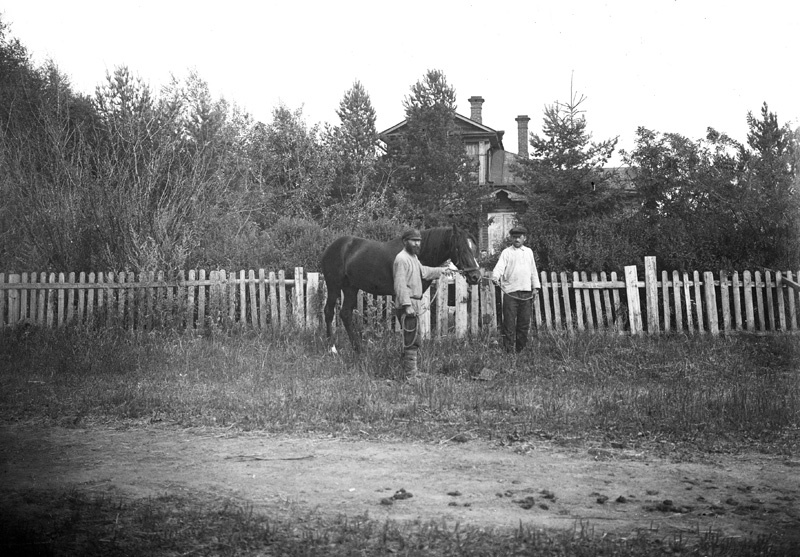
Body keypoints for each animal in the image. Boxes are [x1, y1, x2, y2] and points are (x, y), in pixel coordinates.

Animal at [318, 223, 482, 350]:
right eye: (460, 248)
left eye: (473, 248)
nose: (476, 276)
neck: (416, 256)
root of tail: (330, 248)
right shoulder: (401, 297)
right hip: (333, 286)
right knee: (329, 312)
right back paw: (332, 347)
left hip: (350, 287)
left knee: (345, 314)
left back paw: (358, 348)